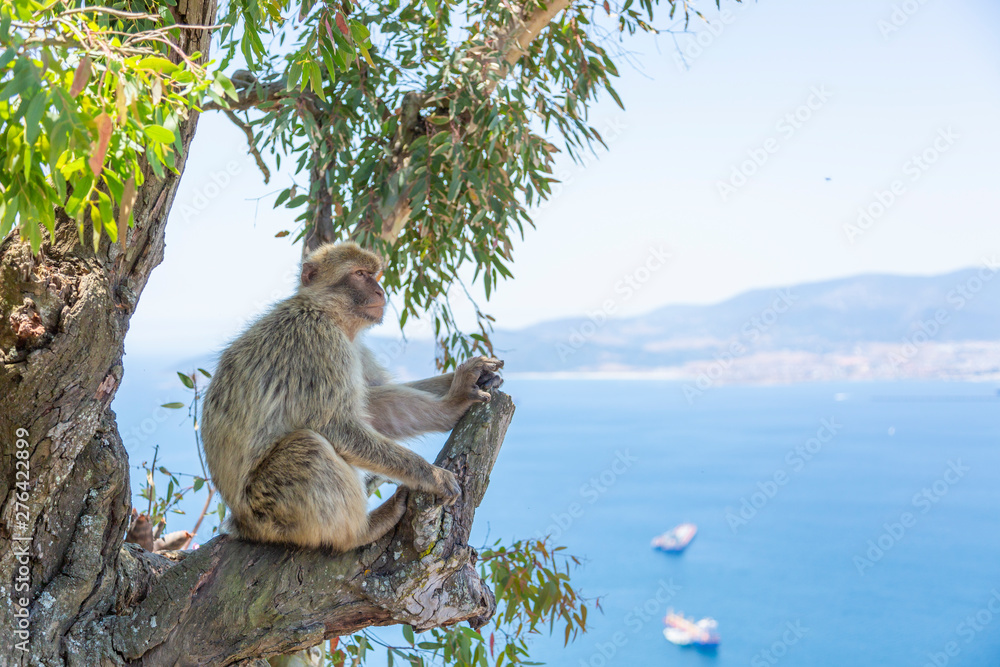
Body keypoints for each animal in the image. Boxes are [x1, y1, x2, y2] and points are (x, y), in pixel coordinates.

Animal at [201, 242, 504, 552]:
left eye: (373, 274)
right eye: (359, 274)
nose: (381, 291)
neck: (325, 311)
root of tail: (241, 524)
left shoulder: (352, 347)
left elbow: (372, 405)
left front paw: (459, 393)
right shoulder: (320, 343)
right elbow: (337, 426)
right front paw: (429, 474)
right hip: (268, 511)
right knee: (309, 446)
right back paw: (359, 532)